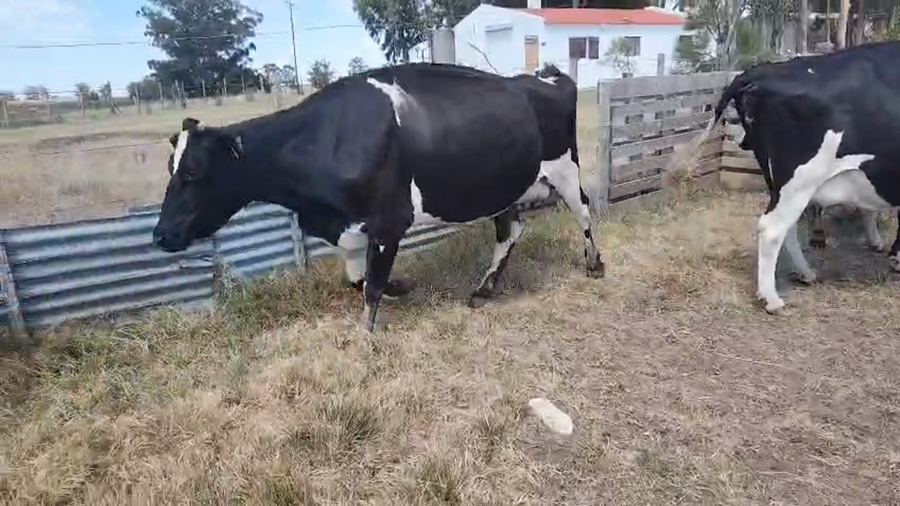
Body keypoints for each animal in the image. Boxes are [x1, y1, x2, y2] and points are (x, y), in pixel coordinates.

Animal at [151, 62, 605, 332]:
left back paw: (594, 265)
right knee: (511, 229)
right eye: (170, 167)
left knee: (583, 212)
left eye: (193, 171)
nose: (159, 235)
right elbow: (359, 279)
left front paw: (366, 336)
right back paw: (485, 288)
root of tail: (546, 74)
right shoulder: (349, 226)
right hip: (504, 184)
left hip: (565, 168)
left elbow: (370, 286)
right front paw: (399, 287)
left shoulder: (389, 221)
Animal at [705, 41, 900, 313]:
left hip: (779, 182)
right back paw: (772, 299)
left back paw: (805, 273)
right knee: (772, 228)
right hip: (800, 178)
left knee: (786, 226)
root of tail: (761, 70)